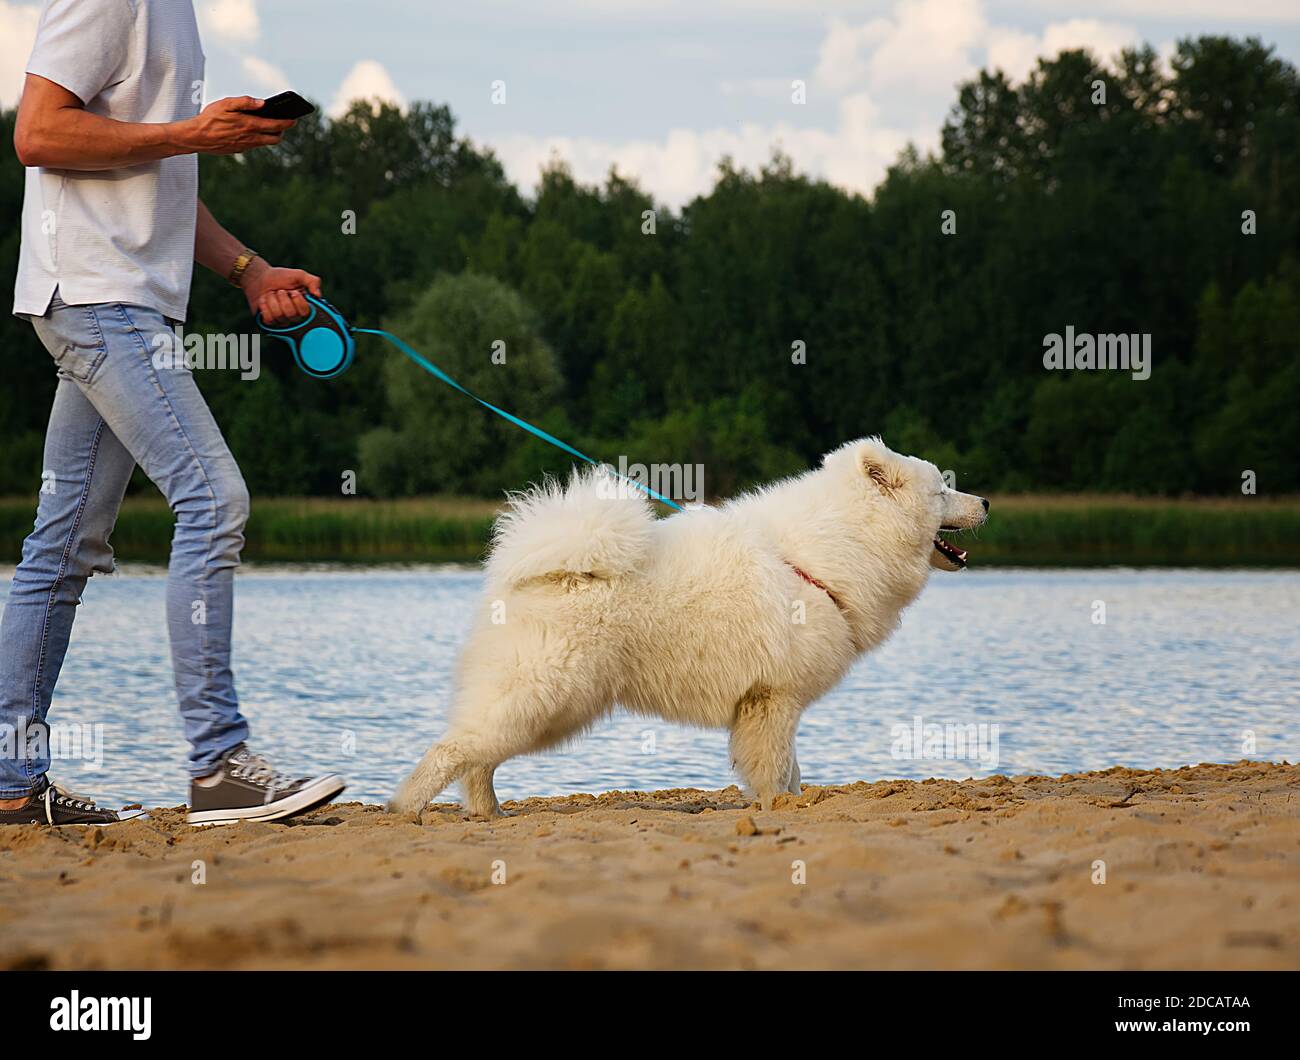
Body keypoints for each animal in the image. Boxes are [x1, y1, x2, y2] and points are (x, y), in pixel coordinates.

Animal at [390, 434, 987, 816]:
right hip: (542, 695)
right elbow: (776, 766)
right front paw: (777, 806)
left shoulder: (775, 699)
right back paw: (406, 809)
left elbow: (791, 768)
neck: (821, 555)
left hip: (552, 708)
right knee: (454, 750)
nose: (983, 499)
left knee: (477, 760)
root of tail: (532, 570)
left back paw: (487, 814)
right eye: (942, 490)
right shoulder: (773, 699)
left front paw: (796, 803)